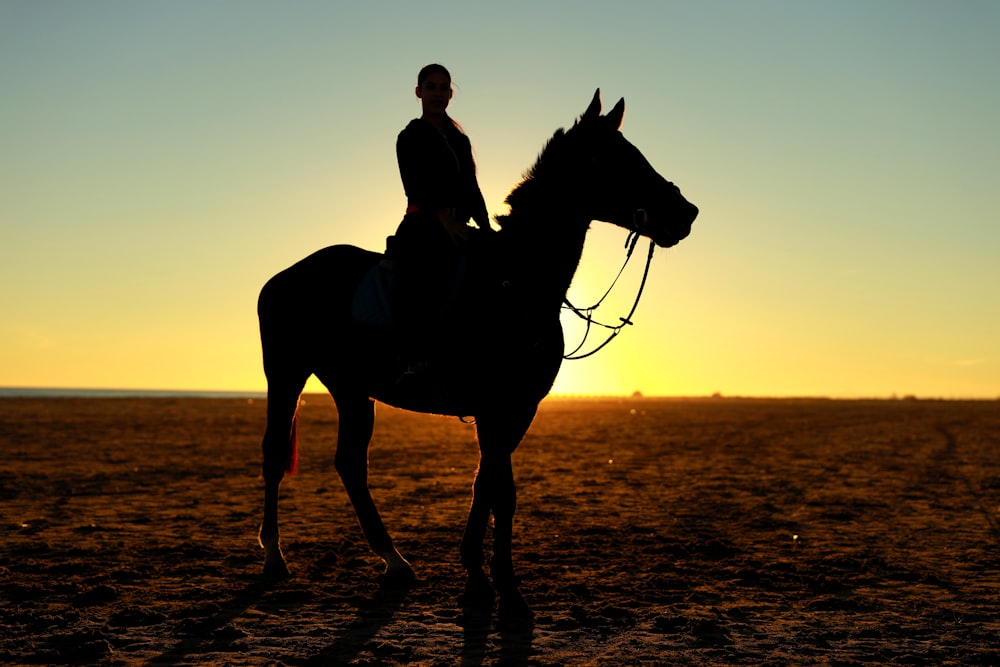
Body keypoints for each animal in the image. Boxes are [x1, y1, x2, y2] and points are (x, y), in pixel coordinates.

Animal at [256, 90, 696, 628]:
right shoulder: (494, 406)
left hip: (352, 389)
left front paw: (478, 578)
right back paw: (274, 556)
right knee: (274, 453)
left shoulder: (518, 409)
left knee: (350, 464)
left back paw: (394, 561)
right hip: (286, 373)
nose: (686, 212)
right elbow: (500, 490)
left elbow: (488, 485)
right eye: (617, 158)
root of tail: (284, 276)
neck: (516, 281)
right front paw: (506, 589)